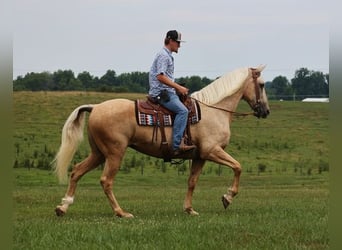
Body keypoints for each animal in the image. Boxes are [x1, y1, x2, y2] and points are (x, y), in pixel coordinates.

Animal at [52, 64, 270, 217]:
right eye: (261, 85)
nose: (266, 111)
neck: (213, 111)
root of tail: (95, 107)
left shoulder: (199, 156)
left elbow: (192, 182)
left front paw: (189, 209)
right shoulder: (212, 150)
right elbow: (238, 167)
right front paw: (227, 197)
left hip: (98, 153)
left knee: (76, 171)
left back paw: (63, 207)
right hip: (114, 153)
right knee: (106, 181)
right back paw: (121, 212)